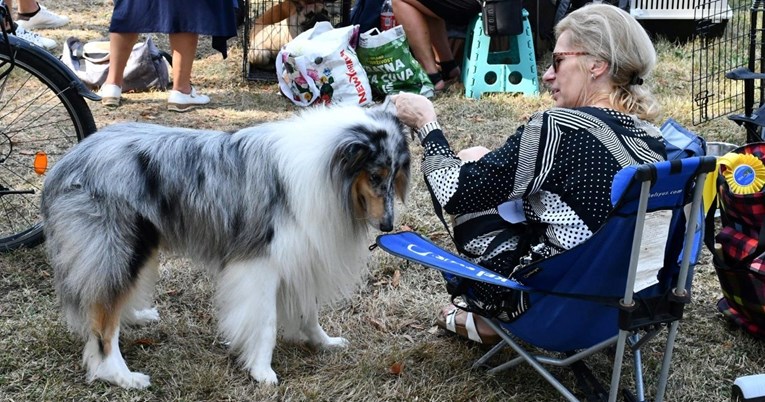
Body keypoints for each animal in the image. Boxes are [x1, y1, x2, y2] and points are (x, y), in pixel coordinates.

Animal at [40, 104, 412, 390]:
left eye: (395, 174)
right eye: (375, 176)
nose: (388, 226)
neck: (326, 170)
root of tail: (66, 162)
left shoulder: (300, 255)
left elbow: (309, 312)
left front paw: (323, 343)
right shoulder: (261, 263)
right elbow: (265, 323)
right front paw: (262, 372)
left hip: (137, 246)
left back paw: (137, 316)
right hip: (119, 246)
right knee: (104, 323)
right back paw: (121, 376)